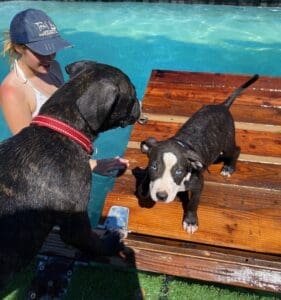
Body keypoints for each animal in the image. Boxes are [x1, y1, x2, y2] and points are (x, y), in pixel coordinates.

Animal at [137, 74, 258, 234]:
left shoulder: (198, 185)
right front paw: (144, 187)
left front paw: (190, 221)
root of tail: (222, 106)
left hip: (227, 144)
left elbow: (193, 203)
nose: (161, 196)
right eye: (154, 167)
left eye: (179, 171)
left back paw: (229, 167)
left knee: (236, 150)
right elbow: (145, 177)